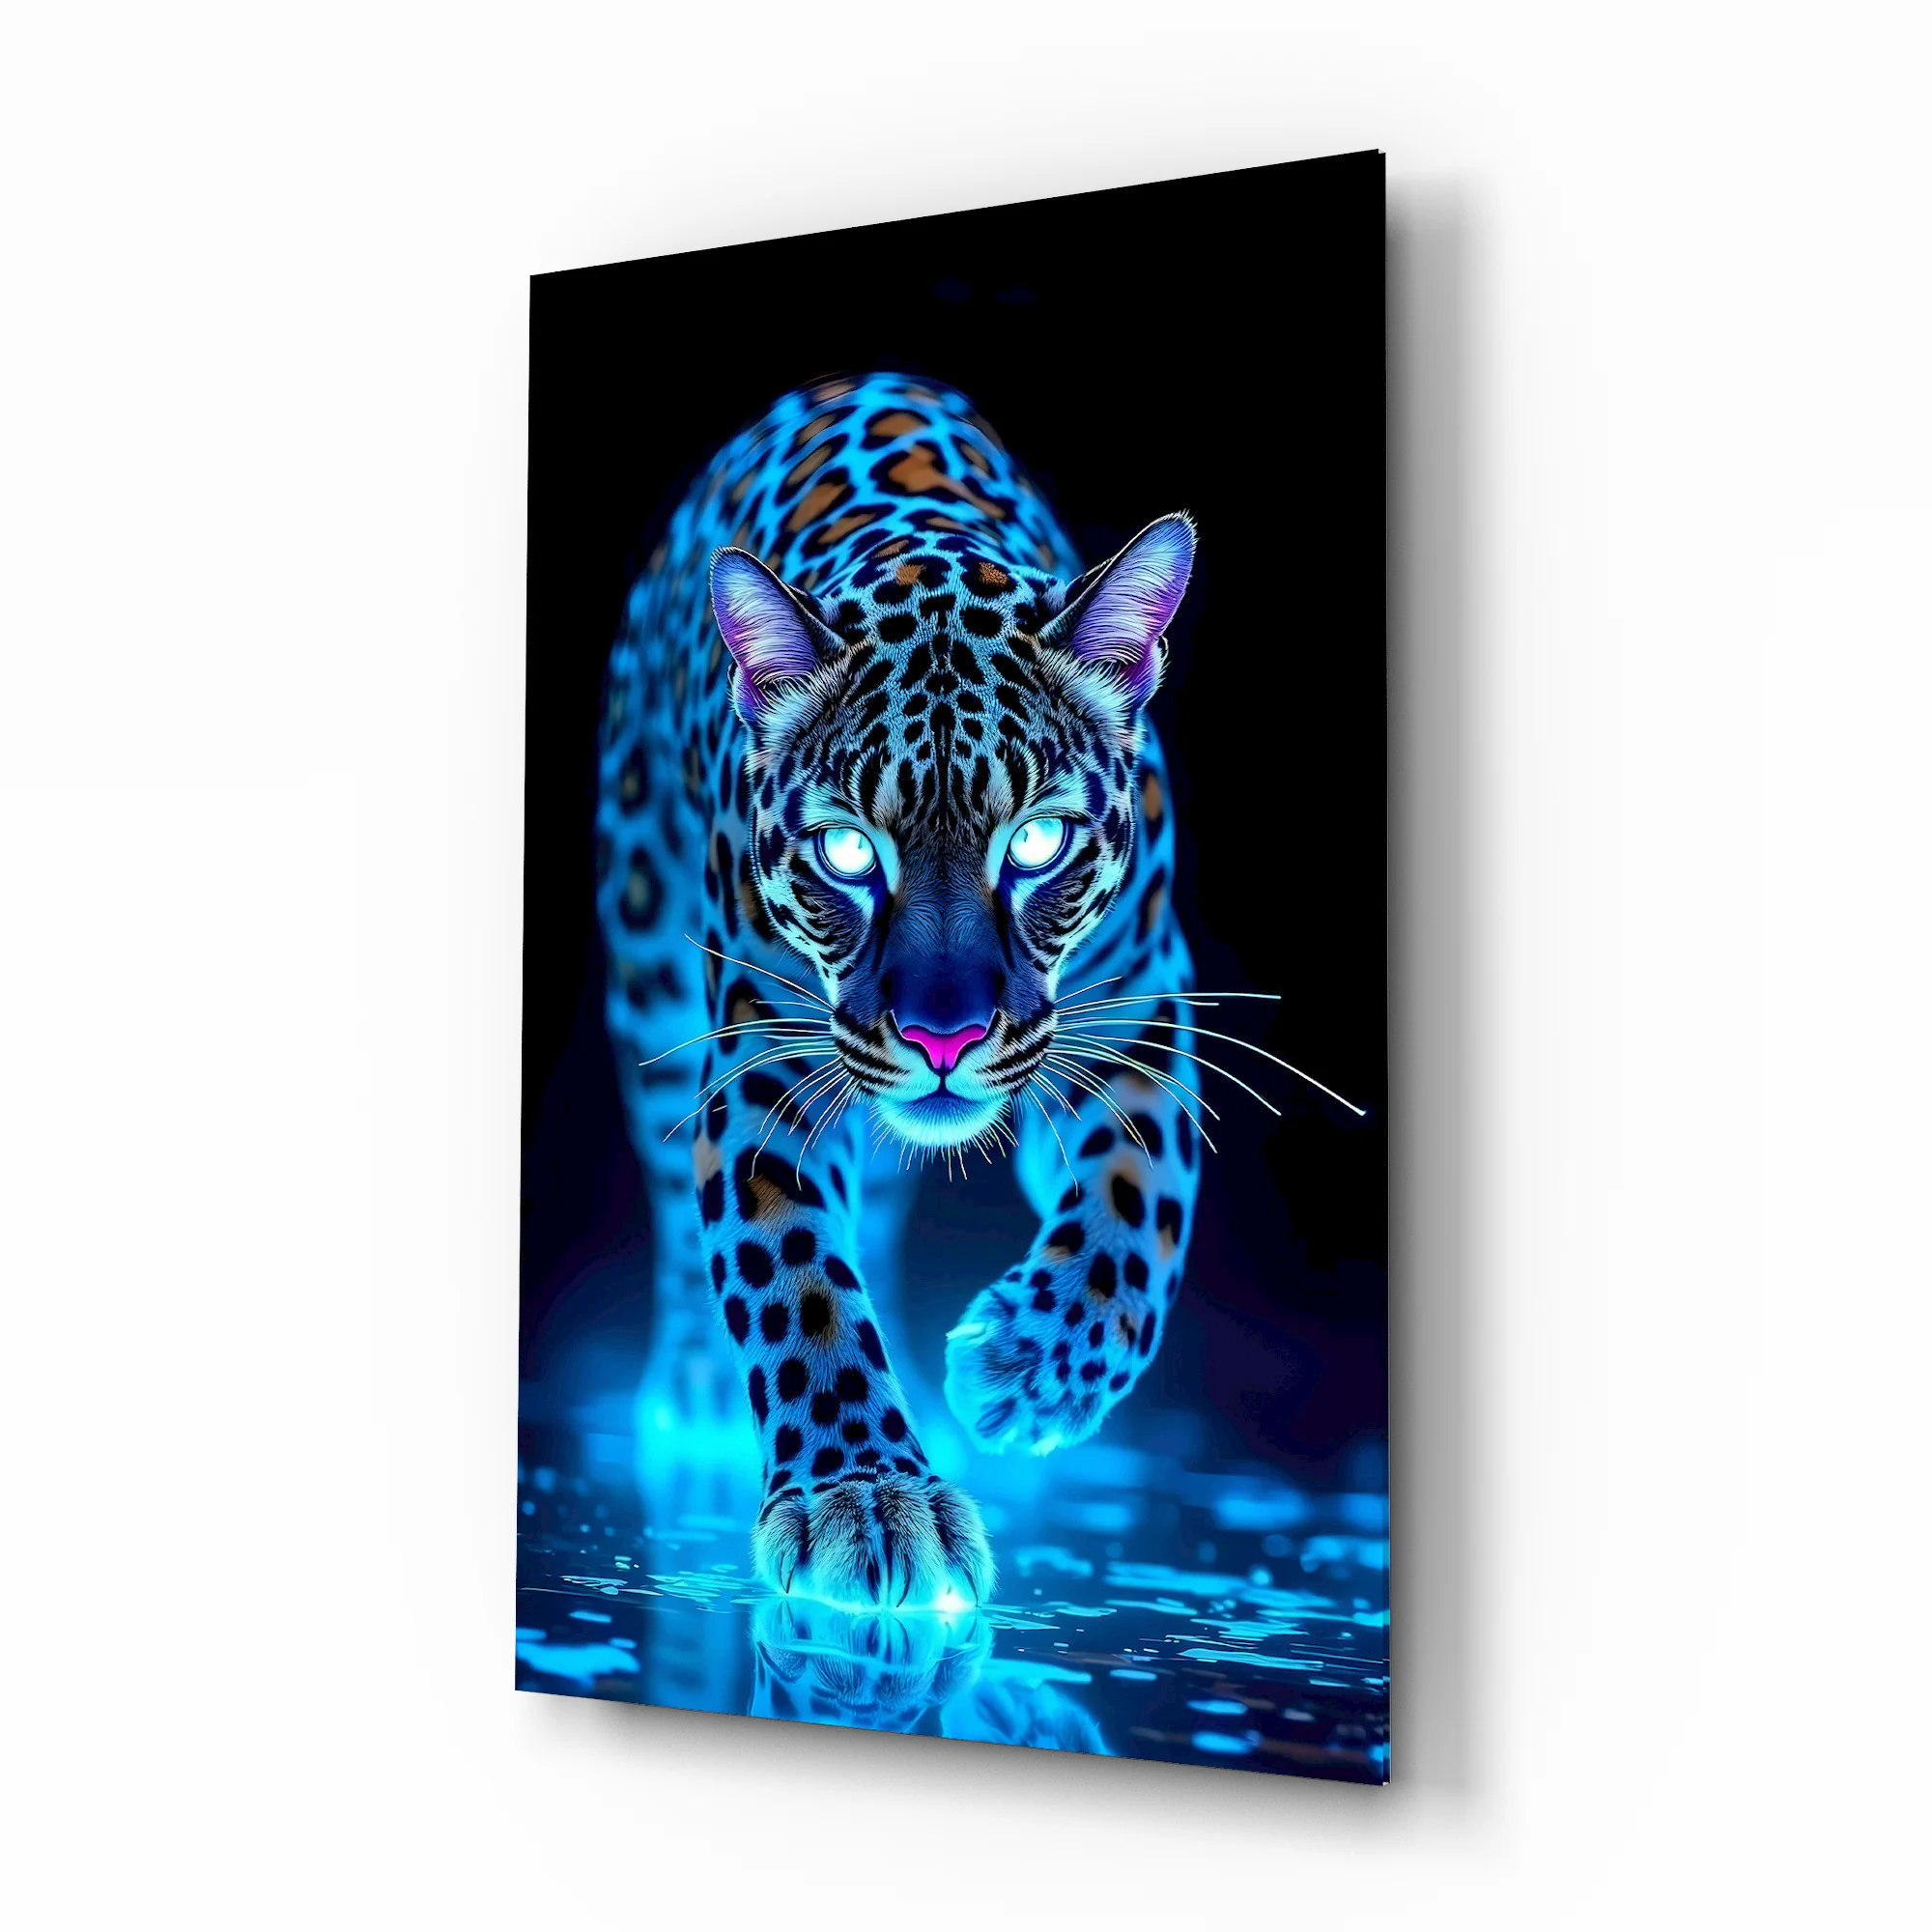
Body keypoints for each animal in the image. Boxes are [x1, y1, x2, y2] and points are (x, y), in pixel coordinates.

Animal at [596, 372, 1204, 1614]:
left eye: (1037, 841)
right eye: (844, 850)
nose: (942, 1038)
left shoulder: (1142, 1015)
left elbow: (1134, 1214)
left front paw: (1025, 1369)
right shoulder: (766, 1063)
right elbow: (794, 1277)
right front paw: (866, 1497)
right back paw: (695, 1383)